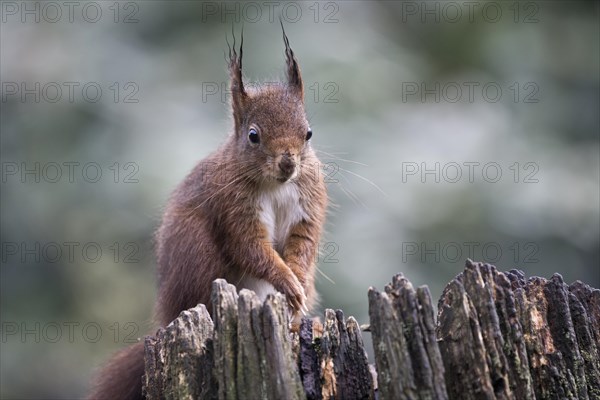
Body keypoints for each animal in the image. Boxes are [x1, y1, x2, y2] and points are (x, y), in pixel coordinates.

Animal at [90, 25, 328, 400]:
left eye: (308, 133)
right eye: (253, 135)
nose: (288, 163)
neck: (276, 185)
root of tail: (168, 318)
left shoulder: (308, 204)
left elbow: (302, 244)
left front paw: (298, 282)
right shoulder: (232, 208)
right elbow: (250, 247)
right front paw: (287, 281)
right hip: (197, 256)